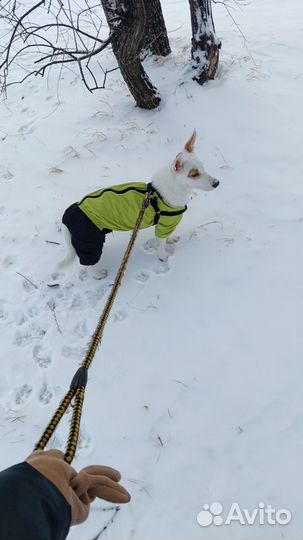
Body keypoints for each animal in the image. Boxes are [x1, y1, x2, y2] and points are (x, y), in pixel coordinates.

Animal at [51, 131, 218, 280]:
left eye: (203, 167)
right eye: (194, 174)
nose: (217, 183)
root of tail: (67, 216)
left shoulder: (167, 225)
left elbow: (167, 237)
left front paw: (171, 239)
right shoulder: (164, 224)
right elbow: (161, 244)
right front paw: (163, 256)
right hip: (90, 242)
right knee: (87, 263)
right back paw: (97, 275)